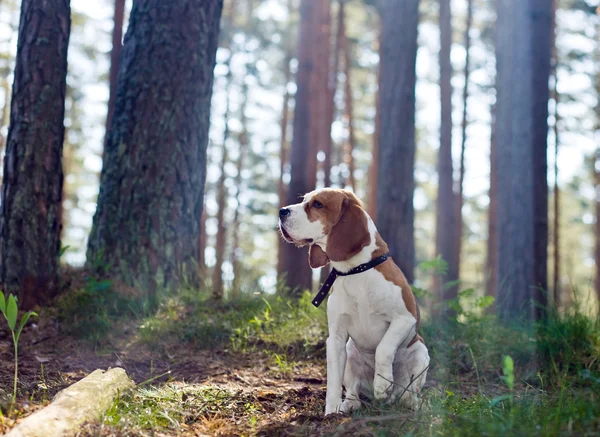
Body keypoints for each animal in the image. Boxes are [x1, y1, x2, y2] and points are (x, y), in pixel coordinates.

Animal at [278, 188, 428, 416]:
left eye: (318, 204)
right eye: (303, 200)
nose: (281, 211)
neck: (356, 271)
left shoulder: (405, 319)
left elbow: (383, 348)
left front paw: (383, 383)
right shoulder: (336, 339)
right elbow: (333, 381)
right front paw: (331, 411)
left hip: (421, 351)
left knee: (409, 391)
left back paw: (408, 401)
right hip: (350, 353)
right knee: (353, 392)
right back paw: (349, 404)